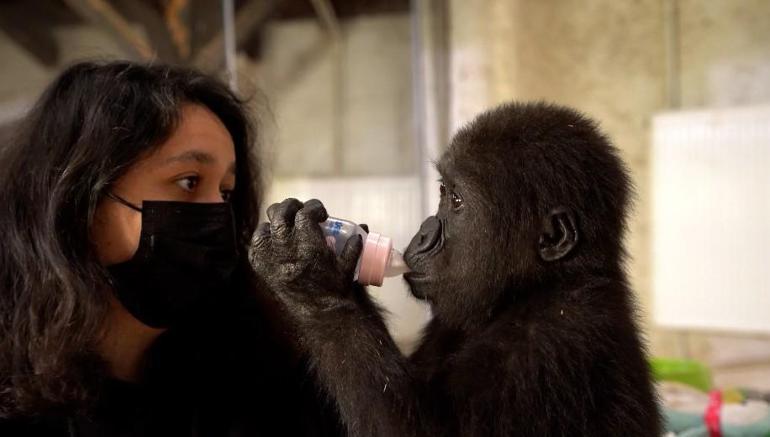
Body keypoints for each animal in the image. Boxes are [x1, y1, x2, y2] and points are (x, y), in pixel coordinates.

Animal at [252, 100, 660, 434]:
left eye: (458, 200)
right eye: (442, 192)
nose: (422, 233)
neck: (534, 288)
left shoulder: (554, 340)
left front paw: (309, 276)